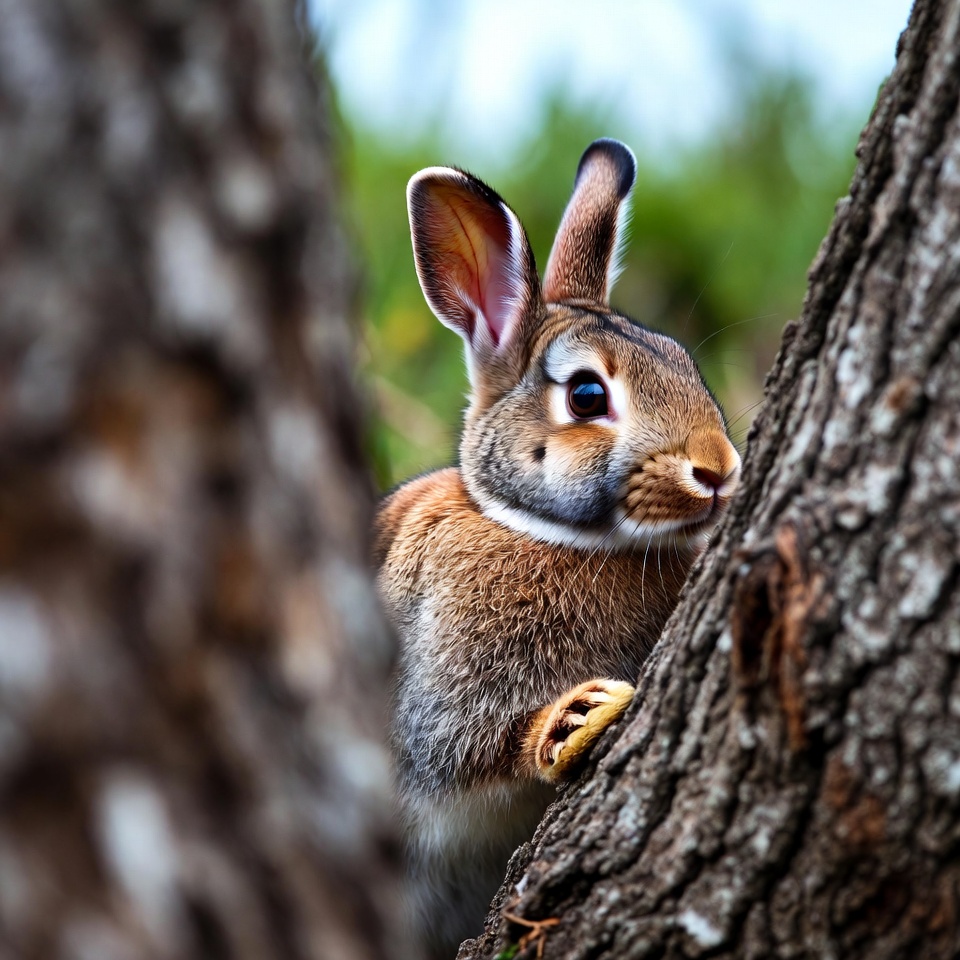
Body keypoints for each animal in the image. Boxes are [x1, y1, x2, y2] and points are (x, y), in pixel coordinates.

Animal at [374, 138, 741, 958]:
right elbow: (473, 749)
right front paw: (577, 720)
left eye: (684, 362)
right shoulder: (434, 707)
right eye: (586, 396)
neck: (545, 532)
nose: (718, 470)